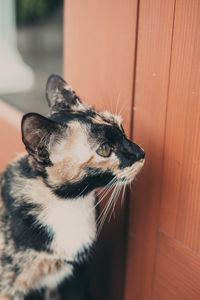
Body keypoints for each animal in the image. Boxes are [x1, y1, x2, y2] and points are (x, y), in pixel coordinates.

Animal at [0, 73, 145, 300]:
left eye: (121, 129)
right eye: (104, 149)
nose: (141, 152)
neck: (68, 202)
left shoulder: (78, 276)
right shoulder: (10, 287)